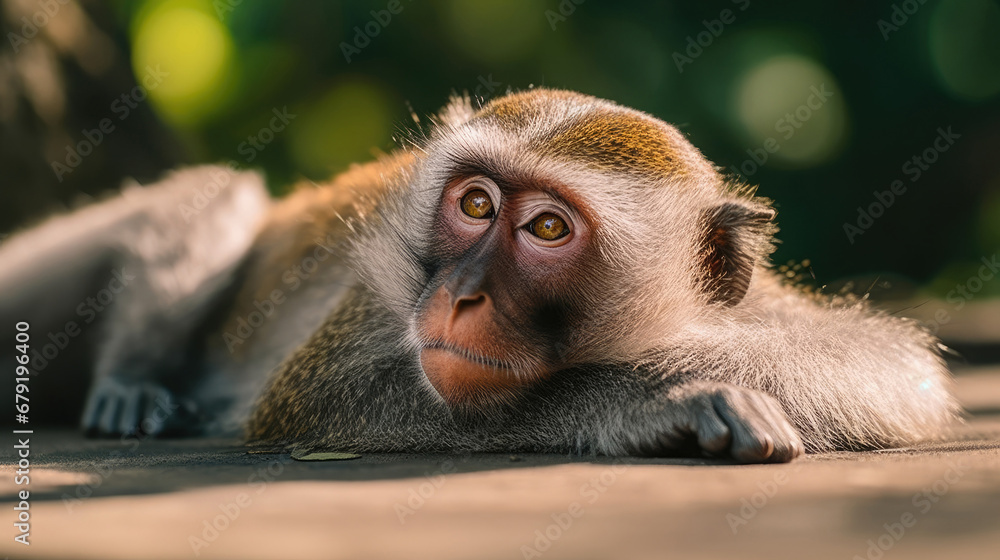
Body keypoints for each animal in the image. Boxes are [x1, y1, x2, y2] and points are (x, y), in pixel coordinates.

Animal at [0, 89, 952, 462]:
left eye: (547, 228)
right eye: (475, 205)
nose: (459, 295)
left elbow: (881, 368)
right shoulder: (365, 315)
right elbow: (324, 399)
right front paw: (655, 402)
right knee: (218, 197)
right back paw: (133, 380)